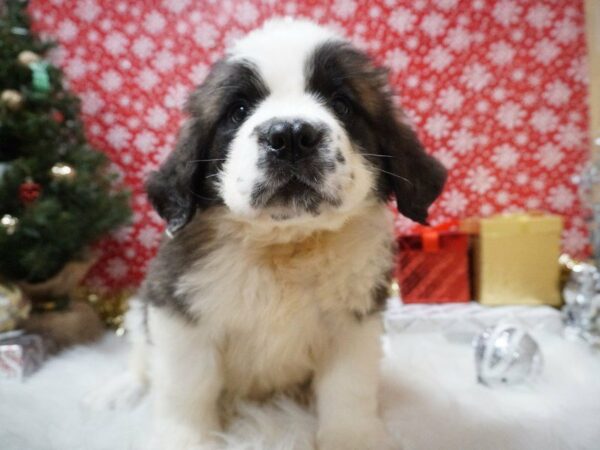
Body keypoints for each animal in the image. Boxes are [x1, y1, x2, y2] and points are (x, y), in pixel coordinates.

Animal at [101, 17, 446, 450]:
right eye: (238, 110)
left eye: (342, 104)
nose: (292, 135)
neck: (286, 246)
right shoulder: (177, 311)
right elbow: (187, 387)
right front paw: (186, 439)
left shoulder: (354, 321)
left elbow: (349, 387)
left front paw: (352, 437)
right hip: (139, 309)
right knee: (139, 356)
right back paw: (122, 389)